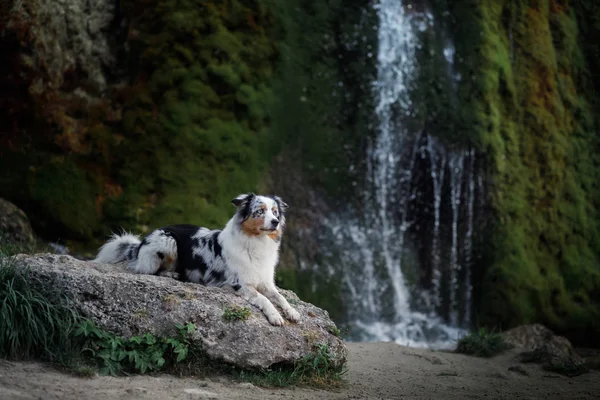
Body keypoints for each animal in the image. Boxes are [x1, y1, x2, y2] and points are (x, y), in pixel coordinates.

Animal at [92, 192, 300, 326]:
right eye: (260, 211)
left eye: (275, 212)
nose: (275, 222)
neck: (256, 242)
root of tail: (141, 243)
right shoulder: (239, 284)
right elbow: (265, 299)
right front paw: (275, 316)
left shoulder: (265, 281)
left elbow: (279, 296)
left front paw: (292, 312)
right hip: (168, 241)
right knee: (149, 271)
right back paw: (172, 275)